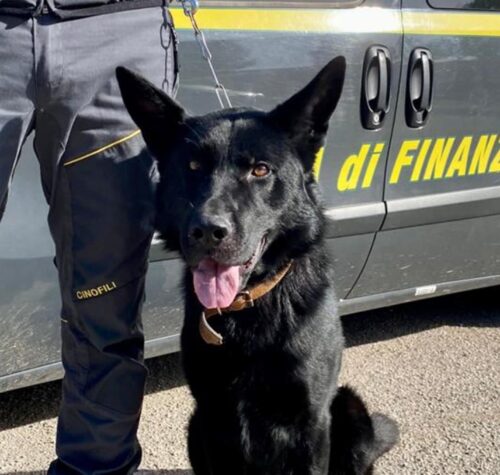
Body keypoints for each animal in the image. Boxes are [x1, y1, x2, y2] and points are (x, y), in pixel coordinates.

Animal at [117, 56, 398, 474]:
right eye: (193, 167)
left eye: (260, 170)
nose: (207, 231)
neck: (251, 307)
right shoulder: (213, 420)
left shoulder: (311, 424)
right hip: (194, 425)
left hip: (349, 409)